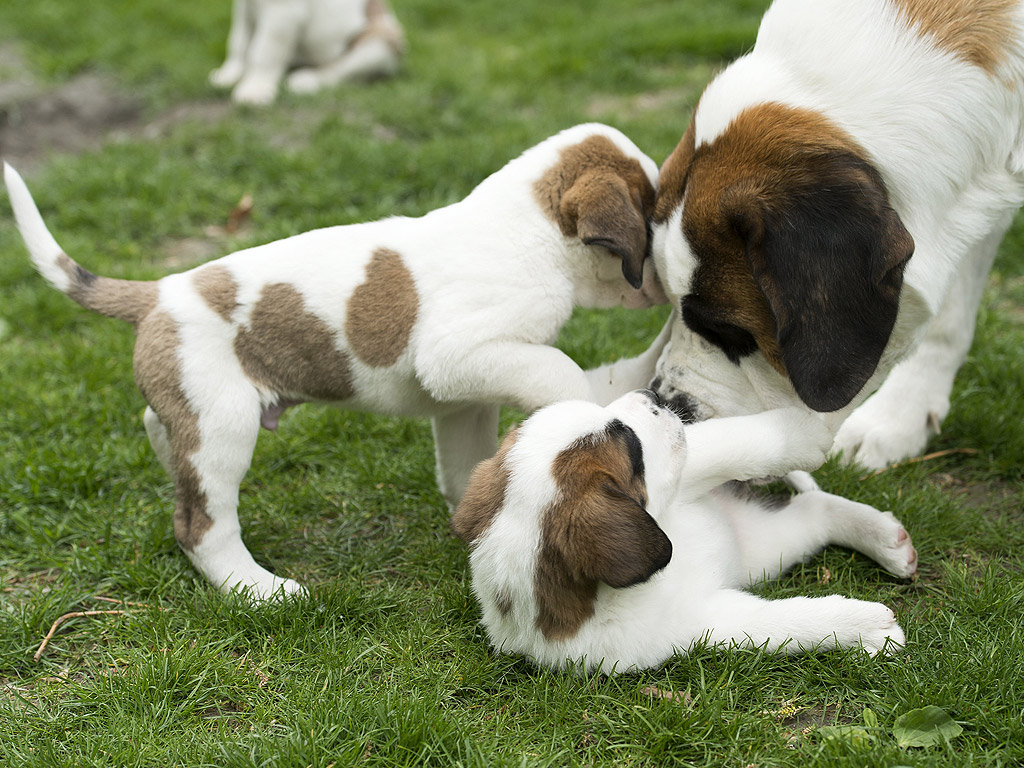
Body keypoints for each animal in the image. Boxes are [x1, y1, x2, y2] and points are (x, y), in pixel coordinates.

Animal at [2, 123, 671, 602]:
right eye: (647, 221)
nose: (670, 283)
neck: (532, 232)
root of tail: (158, 293)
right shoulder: (460, 353)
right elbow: (560, 370)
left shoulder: (464, 397)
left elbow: (464, 463)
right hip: (224, 425)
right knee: (202, 525)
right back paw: (259, 590)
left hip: (193, 407)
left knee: (163, 436)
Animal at [207, 0, 403, 105]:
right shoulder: (244, 8)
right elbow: (239, 41)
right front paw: (229, 75)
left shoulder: (282, 13)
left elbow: (265, 52)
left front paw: (255, 90)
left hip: (381, 39)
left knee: (341, 71)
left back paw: (306, 80)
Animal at [452, 393, 917, 675]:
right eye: (631, 446)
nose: (652, 398)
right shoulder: (709, 622)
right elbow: (788, 621)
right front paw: (865, 626)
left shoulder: (688, 471)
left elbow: (746, 440)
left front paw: (804, 426)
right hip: (765, 547)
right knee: (811, 512)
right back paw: (888, 541)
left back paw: (883, 537)